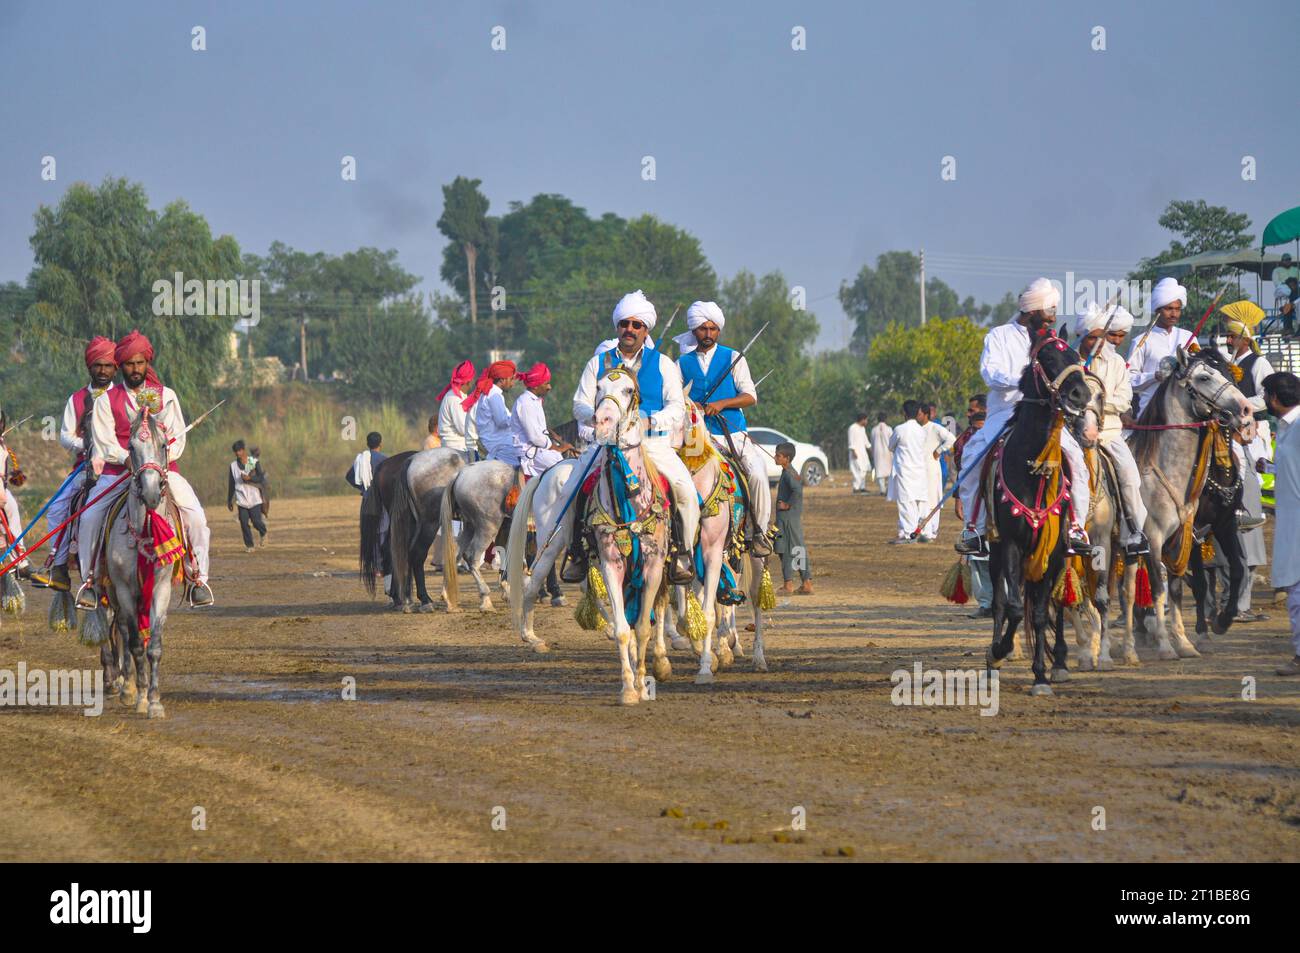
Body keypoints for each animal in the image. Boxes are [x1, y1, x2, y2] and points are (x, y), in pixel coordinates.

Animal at [982, 330, 1097, 696]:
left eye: (1076, 356)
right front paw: (998, 651)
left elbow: (1042, 613)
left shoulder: (1056, 550)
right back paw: (993, 663)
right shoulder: (1011, 545)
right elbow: (1015, 608)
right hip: (996, 554)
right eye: (1047, 359)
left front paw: (1042, 675)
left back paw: (1058, 662)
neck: (1034, 470)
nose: (1080, 394)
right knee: (1001, 602)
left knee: (1053, 605)